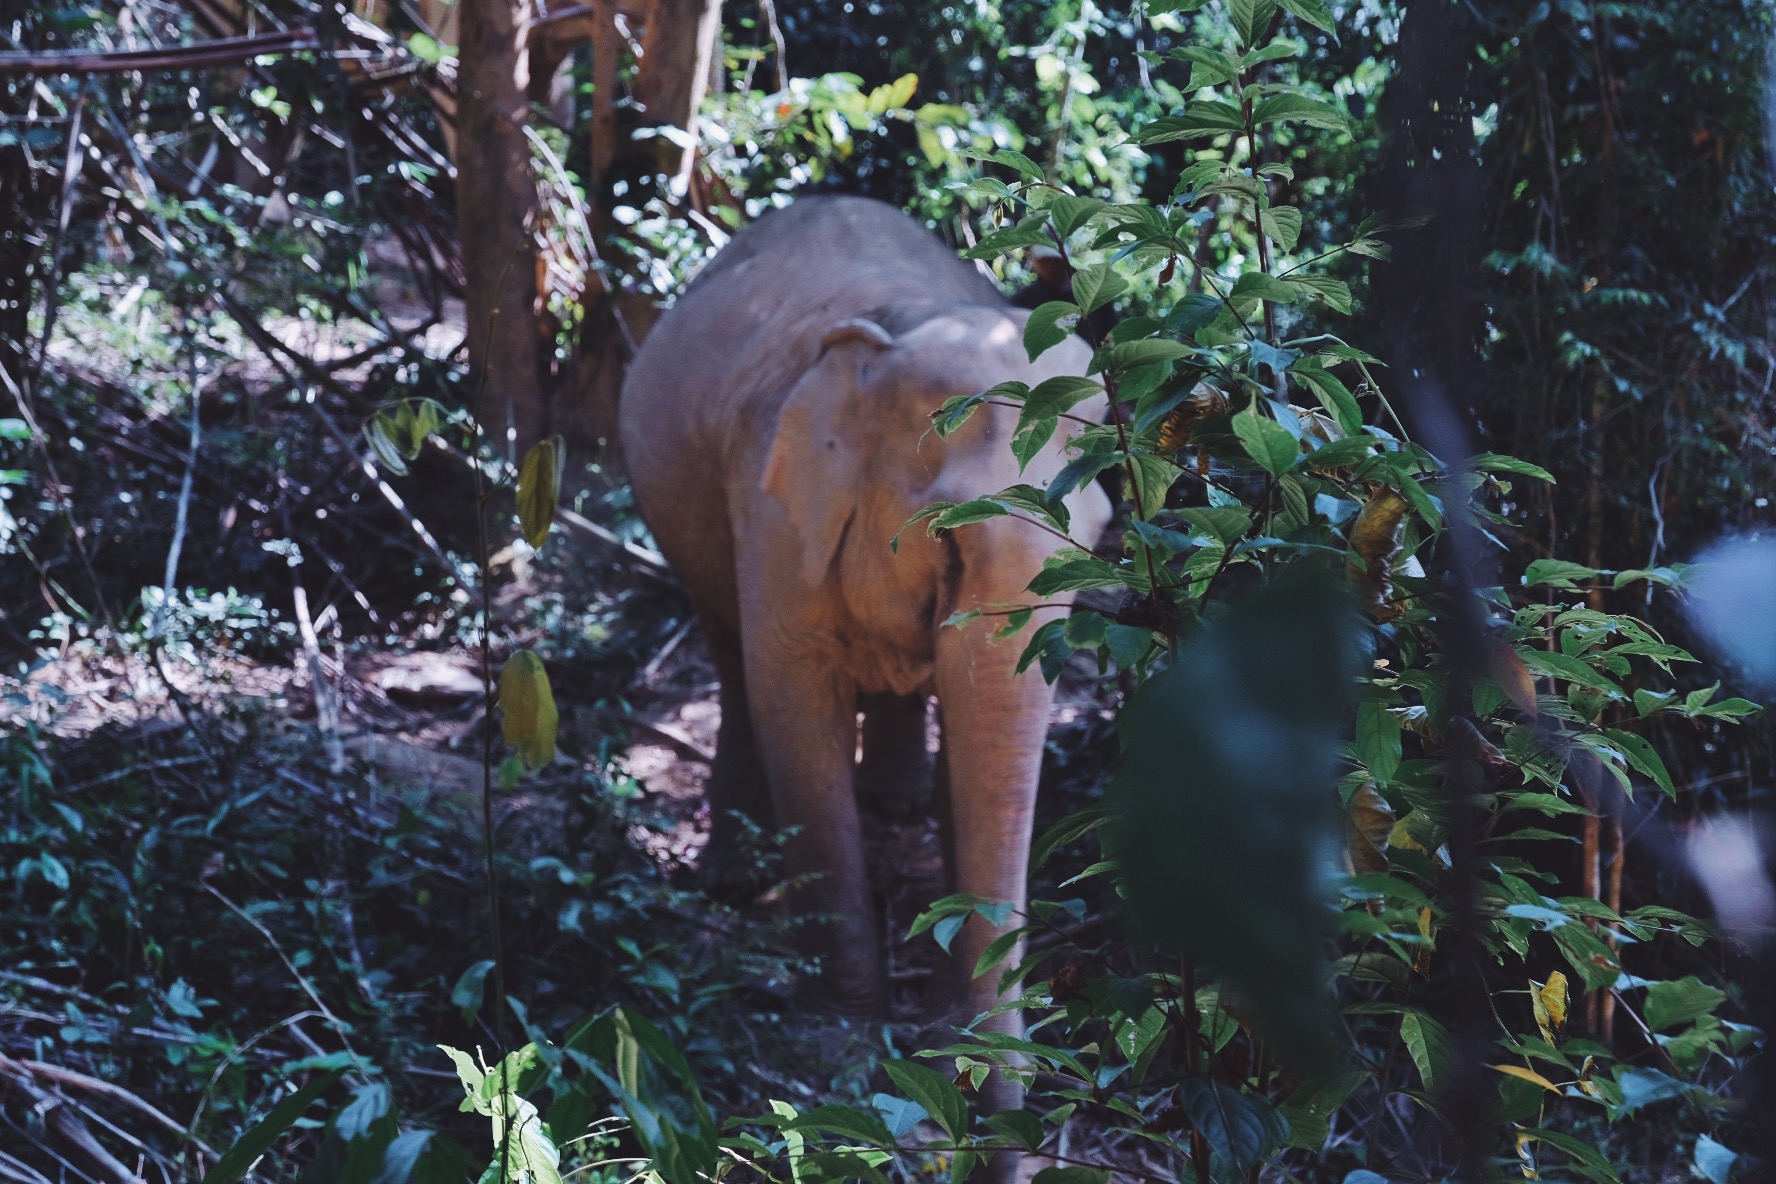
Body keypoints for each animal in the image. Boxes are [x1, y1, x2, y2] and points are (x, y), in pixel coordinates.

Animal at [618, 197, 1101, 1136]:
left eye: (1098, 541)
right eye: (947, 538)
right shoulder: (774, 506)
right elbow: (794, 704)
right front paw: (845, 1031)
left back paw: (896, 800)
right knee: (730, 654)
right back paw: (732, 878)